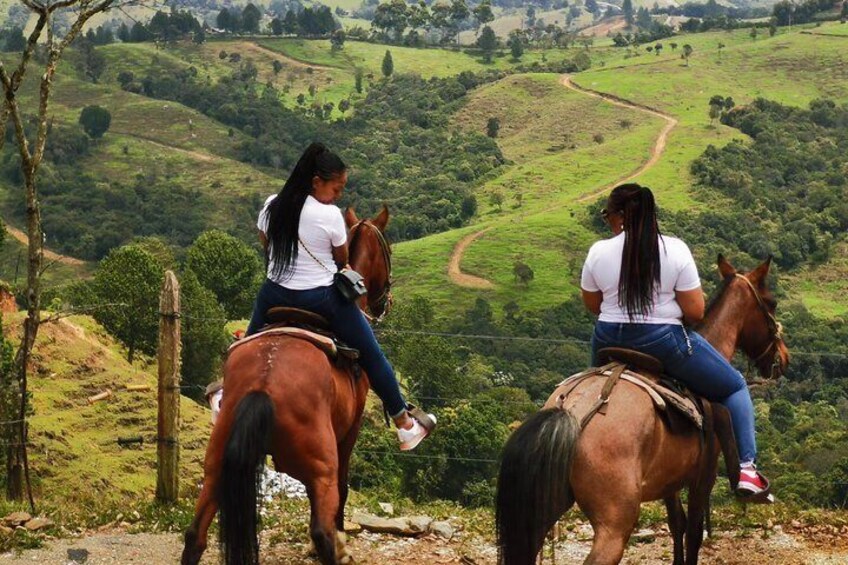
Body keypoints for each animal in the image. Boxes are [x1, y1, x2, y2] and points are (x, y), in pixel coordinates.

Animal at [182, 206, 394, 564]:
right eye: (388, 250)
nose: (384, 302)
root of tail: (263, 385)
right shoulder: (350, 430)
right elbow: (343, 485)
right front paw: (341, 538)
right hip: (319, 466)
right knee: (321, 528)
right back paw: (332, 546)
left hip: (216, 467)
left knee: (195, 535)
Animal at [494, 256, 792, 564]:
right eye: (772, 303)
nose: (783, 357)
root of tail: (574, 411)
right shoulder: (703, 478)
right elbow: (694, 533)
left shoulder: (670, 480)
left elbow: (677, 524)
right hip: (615, 523)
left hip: (543, 508)